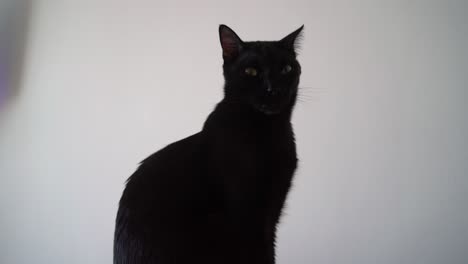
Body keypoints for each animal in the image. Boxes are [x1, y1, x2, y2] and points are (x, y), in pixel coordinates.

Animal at [113, 24, 304, 262]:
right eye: (251, 72)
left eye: (286, 69)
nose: (273, 89)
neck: (266, 130)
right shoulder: (247, 213)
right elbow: (261, 252)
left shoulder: (272, 208)